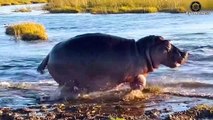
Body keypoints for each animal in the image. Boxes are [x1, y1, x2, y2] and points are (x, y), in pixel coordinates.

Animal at [37, 33, 188, 98]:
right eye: (167, 44)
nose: (185, 52)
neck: (143, 50)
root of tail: (49, 54)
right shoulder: (137, 74)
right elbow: (141, 83)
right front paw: (134, 92)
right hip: (68, 81)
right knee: (66, 91)